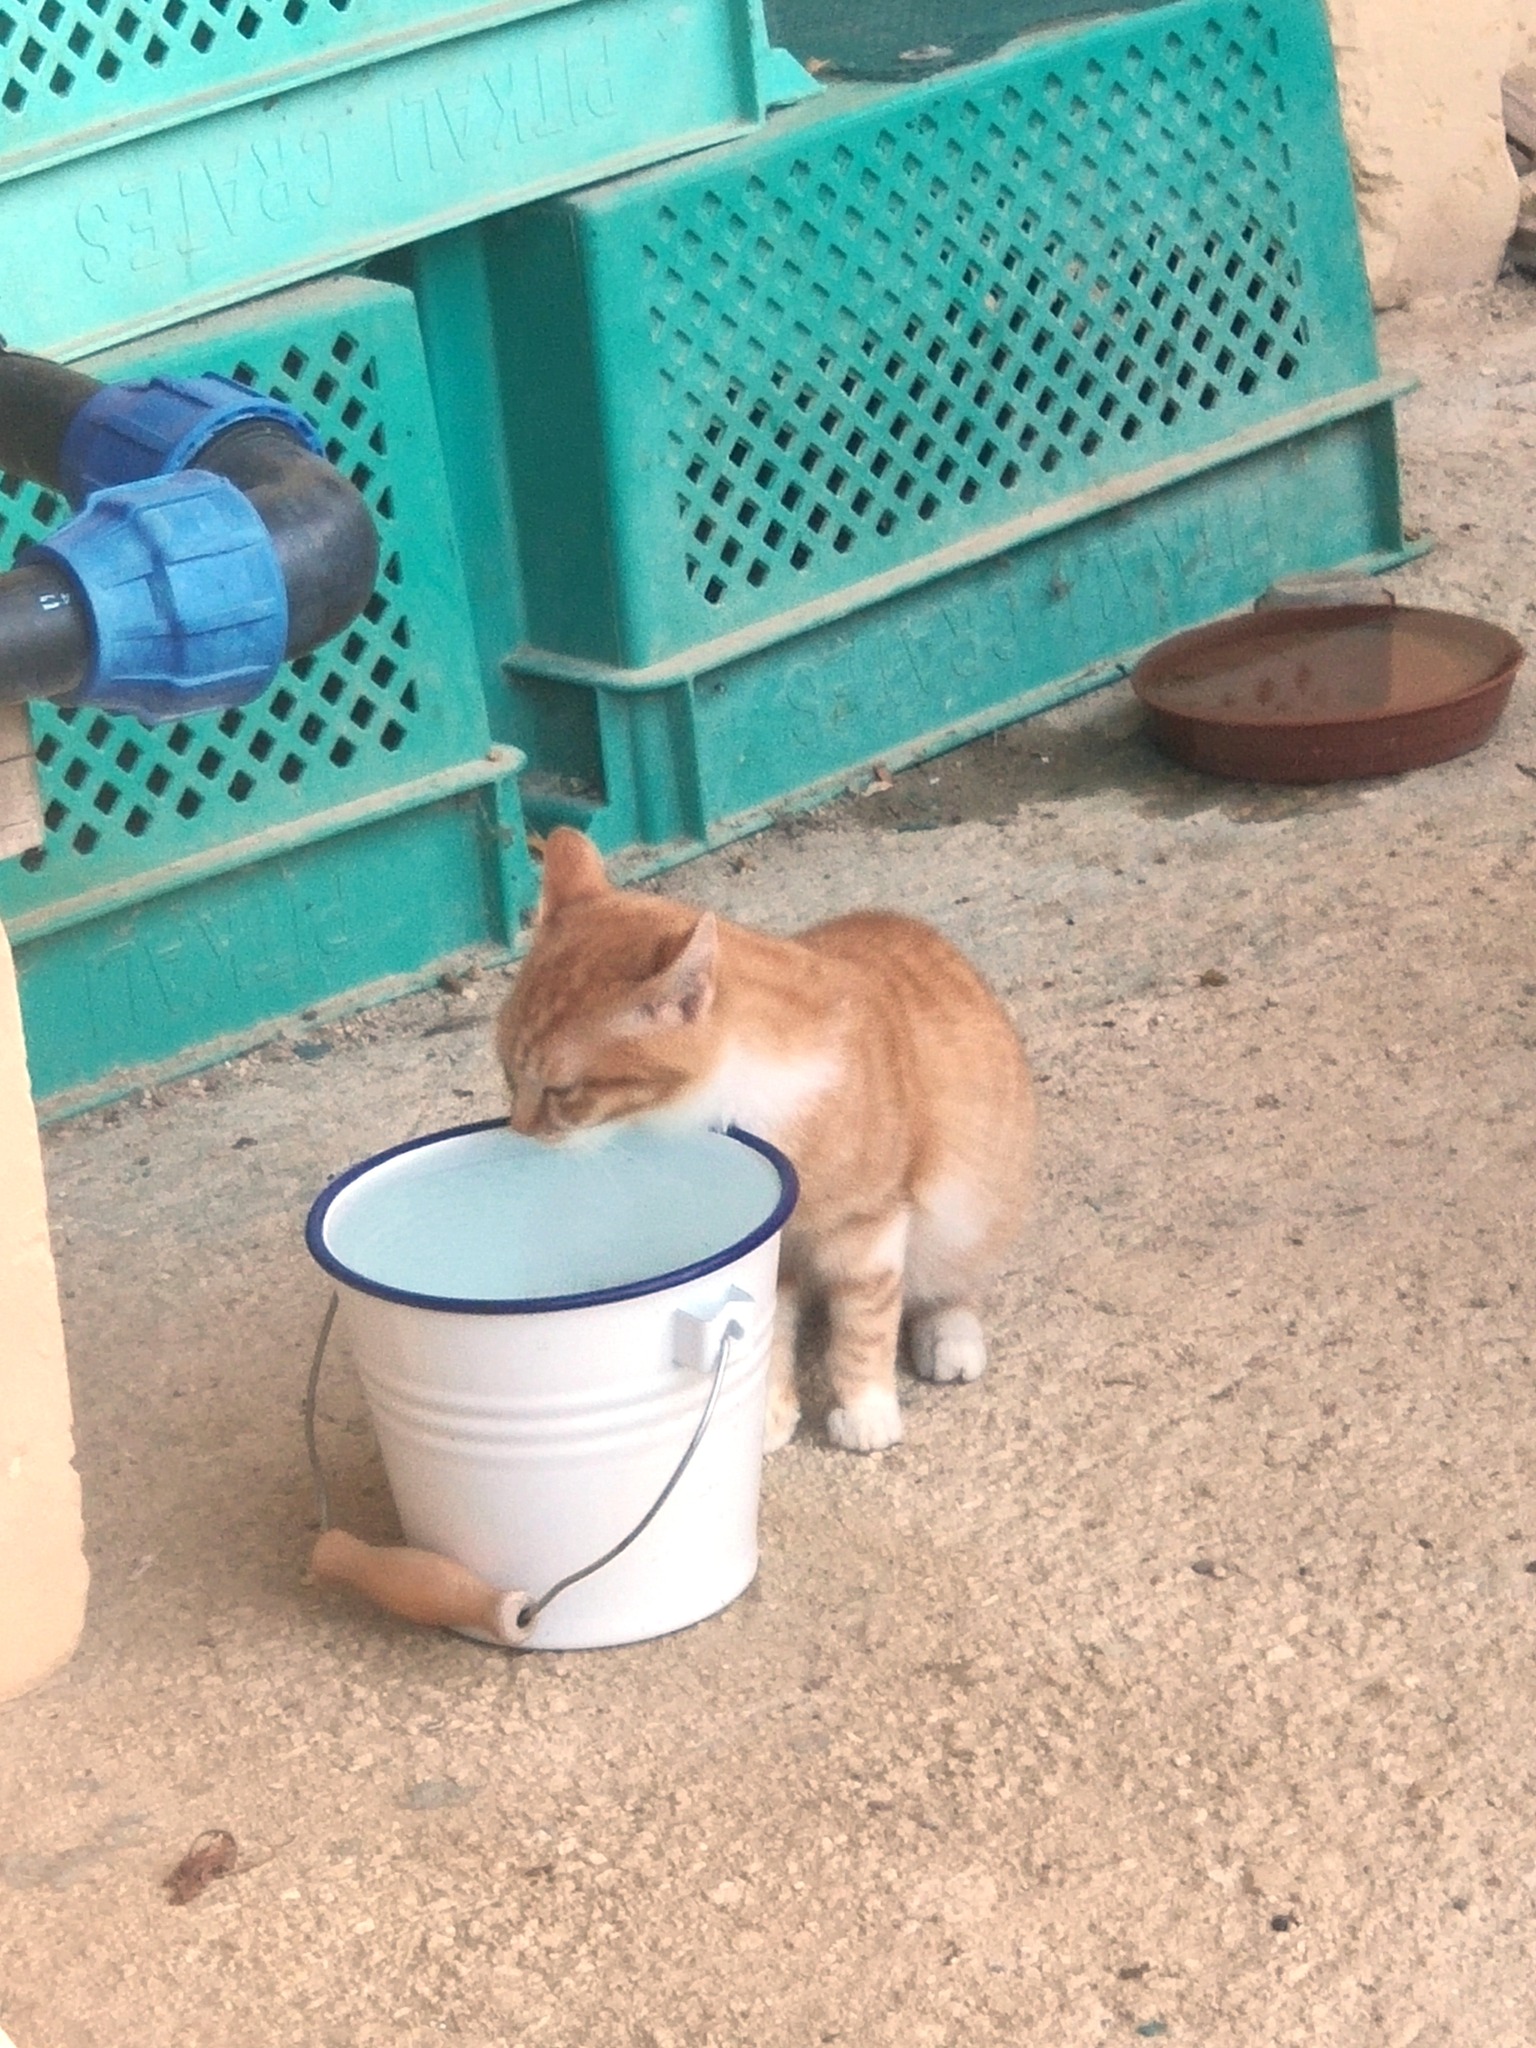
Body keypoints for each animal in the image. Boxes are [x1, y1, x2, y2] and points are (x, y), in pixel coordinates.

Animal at [495, 827, 1035, 1453]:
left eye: (563, 1091)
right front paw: (768, 1414)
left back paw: (950, 1338)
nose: (517, 1130)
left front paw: (866, 1409)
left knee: (951, 1284)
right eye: (507, 1072)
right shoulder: (772, 1253)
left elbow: (865, 1321)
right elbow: (768, 1330)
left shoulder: (870, 1226)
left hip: (969, 1206)